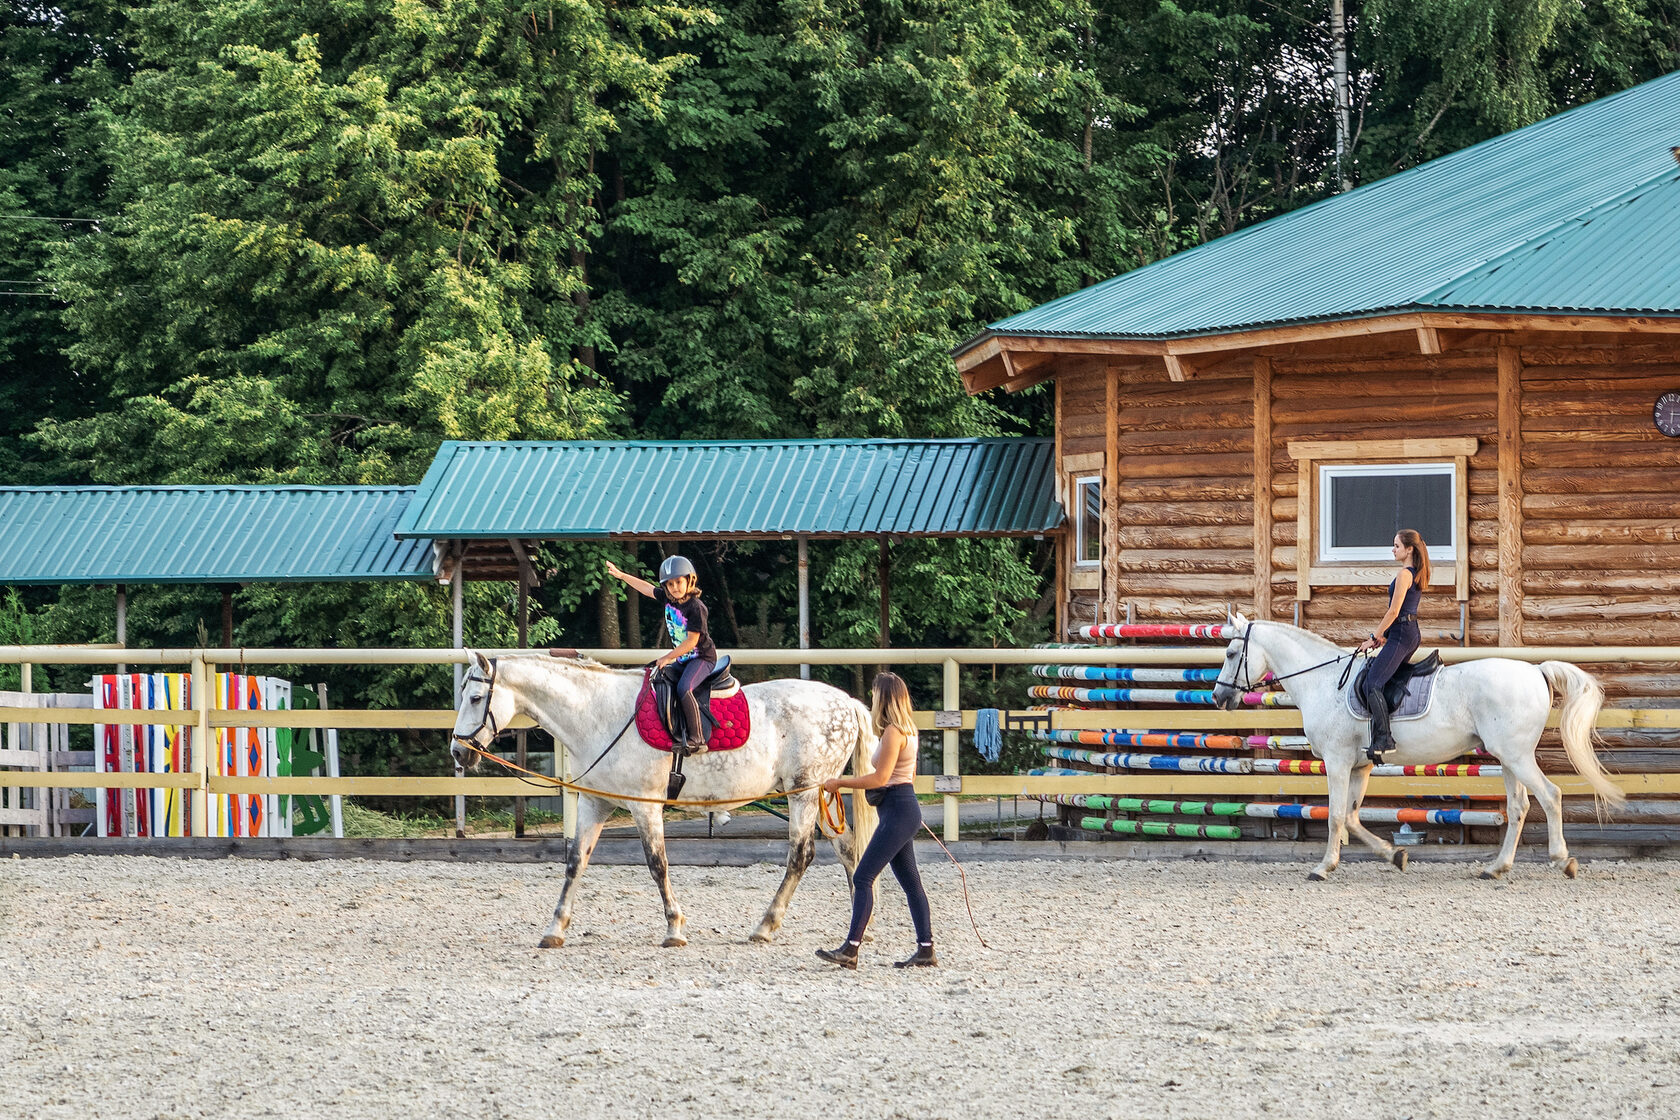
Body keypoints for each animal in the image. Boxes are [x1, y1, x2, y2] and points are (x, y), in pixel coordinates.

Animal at [450, 651, 866, 953]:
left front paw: (674, 929)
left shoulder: (644, 804)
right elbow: (574, 863)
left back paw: (765, 925)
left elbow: (657, 865)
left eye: (475, 697)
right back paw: (863, 924)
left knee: (800, 855)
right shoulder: (595, 803)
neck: (599, 715)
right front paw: (555, 929)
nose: (458, 752)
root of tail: (846, 702)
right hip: (819, 794)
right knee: (847, 849)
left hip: (804, 793)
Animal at [1216, 617, 1619, 879]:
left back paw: (1563, 860)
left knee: (1550, 796)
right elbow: (1351, 816)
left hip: (1517, 757)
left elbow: (1334, 816)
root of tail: (1535, 670)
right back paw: (1495, 867)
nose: (1220, 697)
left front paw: (1323, 867)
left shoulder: (1337, 762)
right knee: (1519, 807)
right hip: (1508, 758)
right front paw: (1395, 855)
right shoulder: (1360, 766)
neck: (1323, 682)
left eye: (1233, 653)